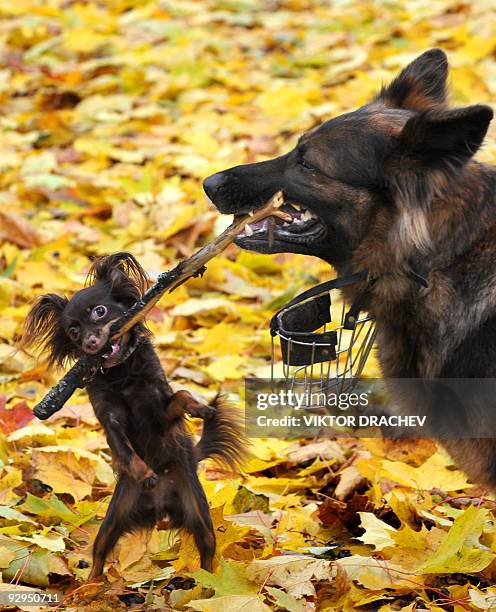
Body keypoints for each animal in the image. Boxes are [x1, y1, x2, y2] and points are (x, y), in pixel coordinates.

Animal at [22, 251, 247, 576]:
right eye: (73, 332)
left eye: (100, 312)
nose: (89, 342)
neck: (122, 373)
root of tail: (160, 508)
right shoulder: (110, 419)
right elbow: (125, 450)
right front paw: (144, 472)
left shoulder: (161, 412)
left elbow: (181, 395)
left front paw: (200, 408)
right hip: (114, 518)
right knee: (99, 554)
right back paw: (90, 584)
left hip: (200, 517)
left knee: (207, 554)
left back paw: (207, 585)